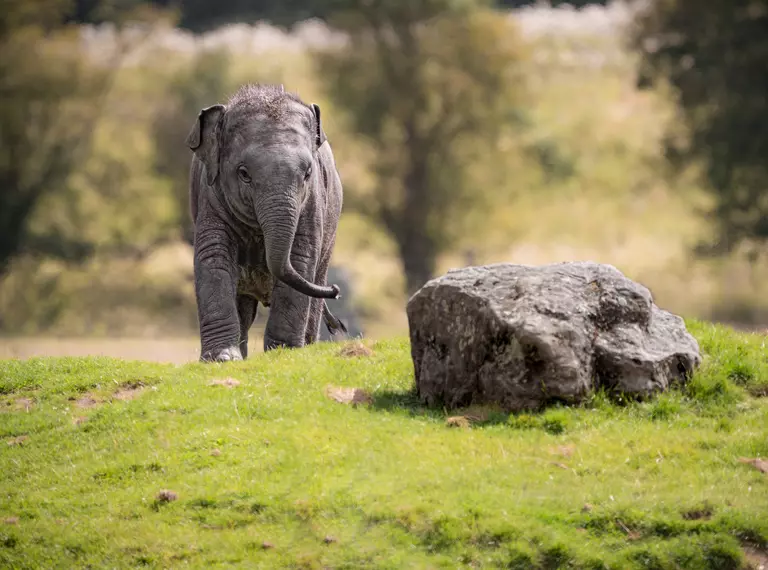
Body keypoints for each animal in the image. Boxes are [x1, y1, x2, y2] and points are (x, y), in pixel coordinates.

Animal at [188, 83, 348, 360]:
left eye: (308, 173)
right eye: (243, 174)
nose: (336, 290)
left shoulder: (312, 202)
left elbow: (300, 256)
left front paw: (284, 353)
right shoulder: (210, 194)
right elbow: (213, 256)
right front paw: (222, 358)